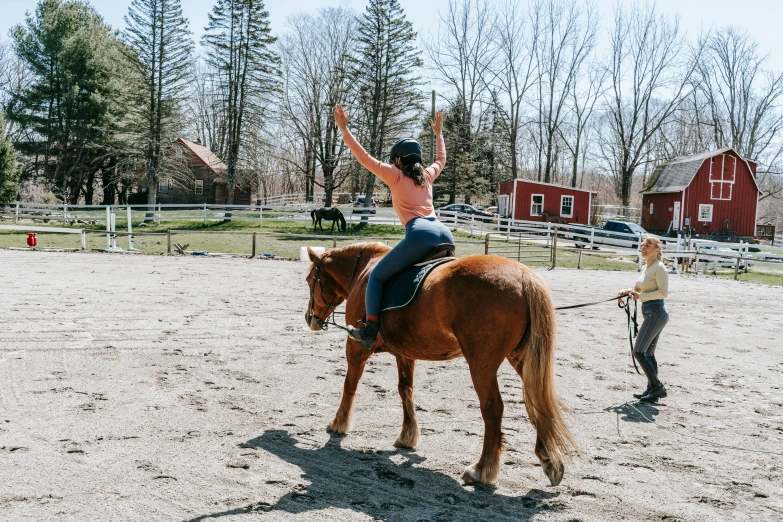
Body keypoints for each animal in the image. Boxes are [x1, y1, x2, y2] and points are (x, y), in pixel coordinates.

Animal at [304, 241, 580, 484]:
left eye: (310, 281)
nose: (310, 318)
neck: (364, 270)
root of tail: (524, 276)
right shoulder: (405, 352)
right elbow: (405, 389)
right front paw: (407, 435)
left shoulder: (356, 349)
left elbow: (349, 385)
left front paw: (338, 424)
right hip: (521, 359)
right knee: (537, 401)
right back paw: (549, 461)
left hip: (481, 363)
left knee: (493, 409)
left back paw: (482, 469)